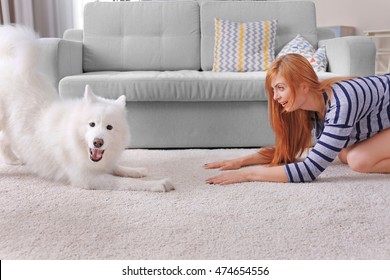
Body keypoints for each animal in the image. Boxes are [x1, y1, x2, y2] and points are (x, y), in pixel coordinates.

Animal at [0, 25, 174, 192]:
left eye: (109, 127)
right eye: (92, 124)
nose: (98, 142)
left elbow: (117, 168)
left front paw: (135, 170)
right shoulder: (87, 178)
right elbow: (124, 182)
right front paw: (157, 184)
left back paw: (14, 160)